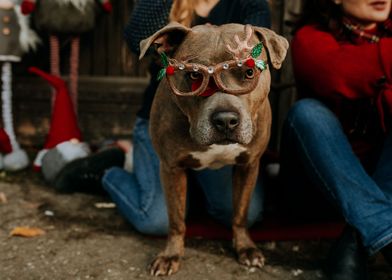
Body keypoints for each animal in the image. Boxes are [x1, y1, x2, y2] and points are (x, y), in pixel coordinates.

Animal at [139, 21, 290, 276]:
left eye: (249, 72)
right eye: (194, 75)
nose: (226, 120)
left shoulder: (249, 165)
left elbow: (240, 212)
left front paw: (245, 247)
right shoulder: (171, 168)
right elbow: (176, 219)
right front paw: (171, 255)